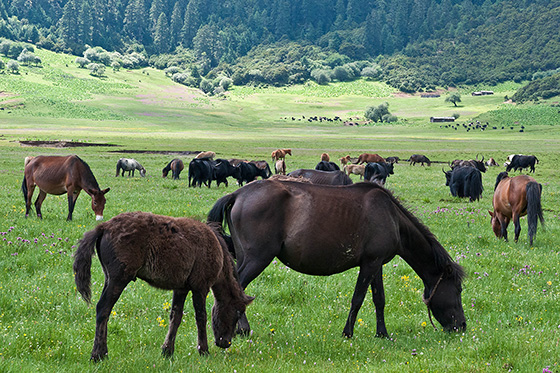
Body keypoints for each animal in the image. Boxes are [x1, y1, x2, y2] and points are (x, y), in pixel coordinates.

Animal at [72, 212, 254, 360]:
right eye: (238, 313)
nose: (226, 343)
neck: (216, 248)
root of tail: (104, 227)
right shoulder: (200, 287)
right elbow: (201, 317)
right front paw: (204, 351)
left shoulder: (181, 288)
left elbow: (176, 316)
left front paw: (167, 351)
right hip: (119, 279)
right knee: (103, 309)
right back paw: (98, 355)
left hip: (109, 278)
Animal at [208, 179, 466, 338]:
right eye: (457, 290)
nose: (462, 326)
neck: (392, 217)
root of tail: (238, 194)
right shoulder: (369, 264)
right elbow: (358, 298)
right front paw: (347, 333)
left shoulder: (376, 264)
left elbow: (379, 299)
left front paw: (382, 333)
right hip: (257, 258)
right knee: (237, 288)